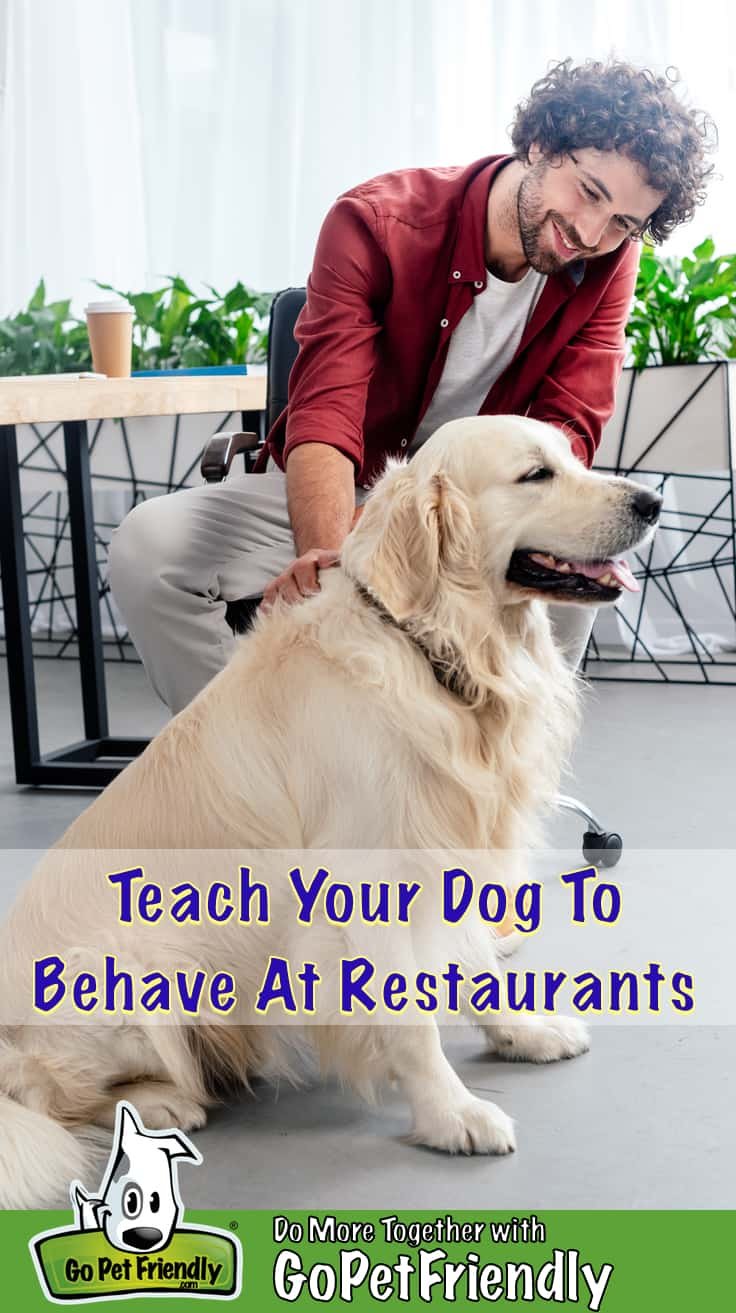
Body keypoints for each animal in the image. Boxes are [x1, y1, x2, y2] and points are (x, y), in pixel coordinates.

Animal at [0, 414, 661, 1202]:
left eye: (572, 455)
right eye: (536, 474)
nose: (653, 503)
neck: (435, 653)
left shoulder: (450, 850)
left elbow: (472, 963)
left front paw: (521, 1030)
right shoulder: (366, 880)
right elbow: (410, 1020)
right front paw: (452, 1114)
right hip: (125, 969)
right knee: (45, 1093)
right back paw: (161, 1101)